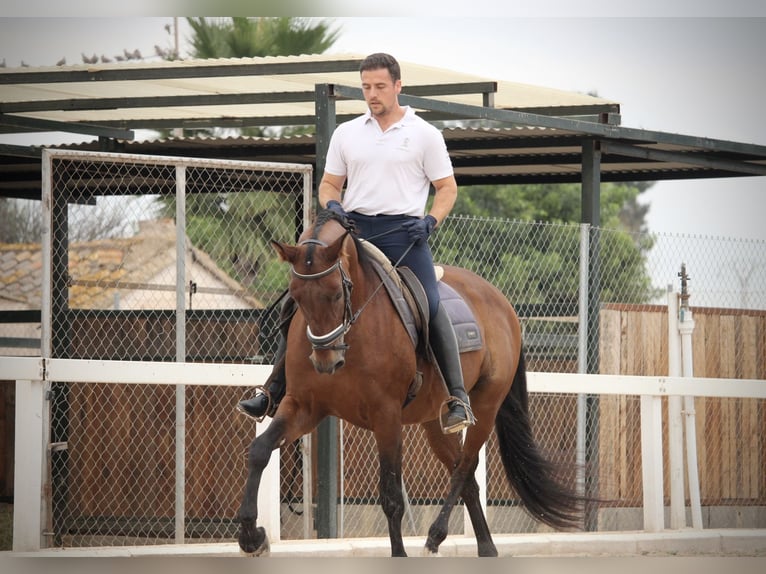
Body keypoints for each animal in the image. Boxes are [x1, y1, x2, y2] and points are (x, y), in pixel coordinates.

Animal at [237, 209, 585, 557]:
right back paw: (485, 547)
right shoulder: (304, 406)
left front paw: (399, 553)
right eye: (295, 297)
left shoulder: (386, 416)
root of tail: (501, 301)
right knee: (466, 476)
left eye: (336, 292)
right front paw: (251, 536)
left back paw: (436, 535)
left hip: (486, 405)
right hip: (435, 420)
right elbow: (259, 450)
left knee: (465, 466)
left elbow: (392, 495)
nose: (326, 362)